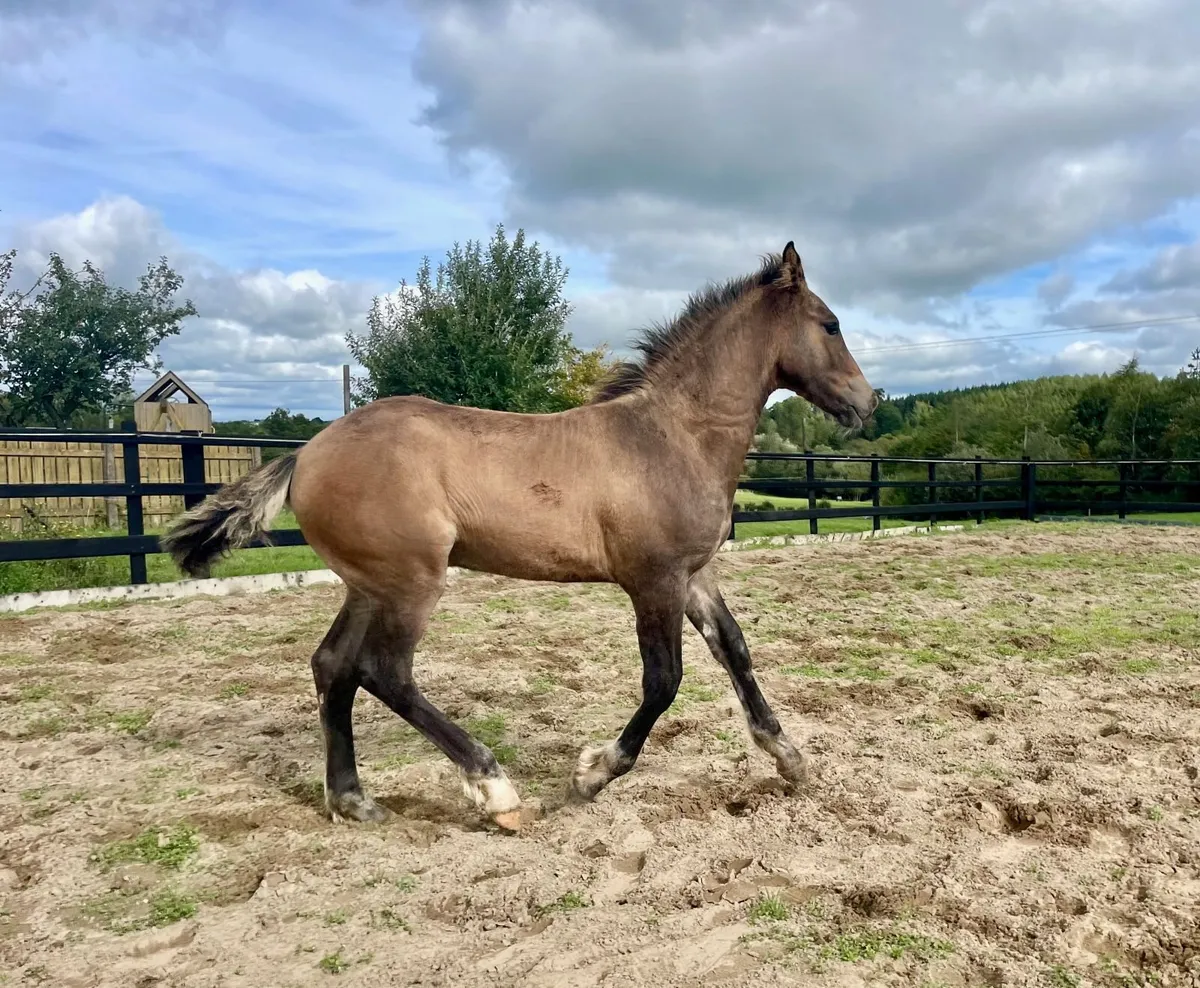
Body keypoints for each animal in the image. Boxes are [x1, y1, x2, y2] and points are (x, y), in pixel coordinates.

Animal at [160, 241, 878, 833]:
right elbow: (663, 682)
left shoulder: (695, 575)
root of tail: (307, 452)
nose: (867, 403)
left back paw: (354, 800)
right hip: (411, 583)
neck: (672, 436)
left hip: (369, 584)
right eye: (831, 324)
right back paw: (495, 790)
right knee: (384, 672)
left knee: (333, 666)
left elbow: (736, 652)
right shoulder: (655, 580)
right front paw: (591, 774)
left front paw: (790, 759)